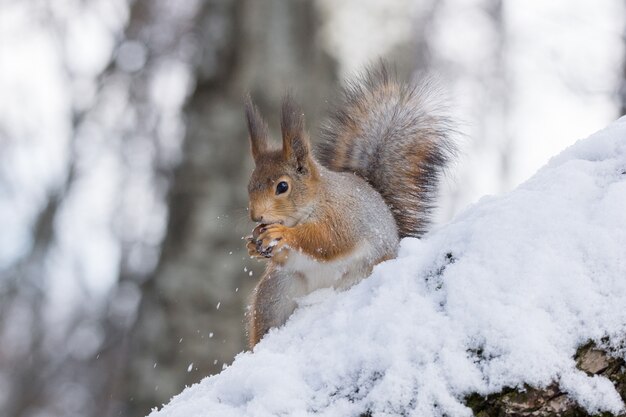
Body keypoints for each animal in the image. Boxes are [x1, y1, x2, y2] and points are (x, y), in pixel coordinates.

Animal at [241, 63, 450, 346]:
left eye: (282, 187)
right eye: (250, 185)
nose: (256, 217)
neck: (314, 201)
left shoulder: (342, 215)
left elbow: (327, 240)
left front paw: (283, 234)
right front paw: (254, 245)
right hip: (276, 293)